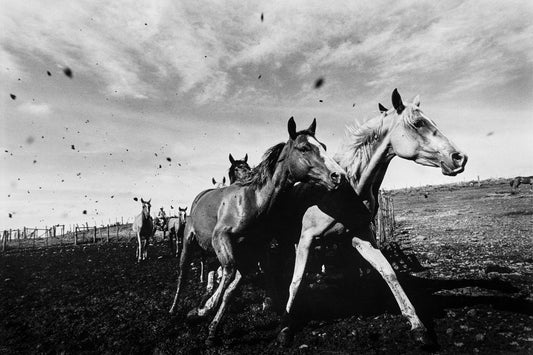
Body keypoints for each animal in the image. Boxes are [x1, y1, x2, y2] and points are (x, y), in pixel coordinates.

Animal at [170, 118, 344, 346]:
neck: (254, 200)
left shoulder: (254, 250)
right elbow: (229, 274)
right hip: (188, 242)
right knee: (182, 273)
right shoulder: (221, 238)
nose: (338, 176)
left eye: (323, 146)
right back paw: (175, 309)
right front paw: (203, 311)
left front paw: (213, 327)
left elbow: (233, 289)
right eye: (304, 148)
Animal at [274, 89, 466, 348]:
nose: (459, 158)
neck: (346, 190)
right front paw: (285, 327)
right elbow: (296, 280)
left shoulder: (360, 237)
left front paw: (416, 325)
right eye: (418, 123)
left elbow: (388, 272)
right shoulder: (306, 238)